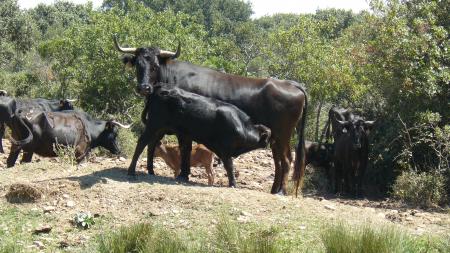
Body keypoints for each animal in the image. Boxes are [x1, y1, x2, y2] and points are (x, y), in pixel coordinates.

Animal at [128, 86, 272, 187]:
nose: (268, 144)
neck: (241, 125)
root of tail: (159, 89)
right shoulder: (225, 150)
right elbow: (229, 166)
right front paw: (233, 184)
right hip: (153, 125)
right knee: (142, 142)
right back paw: (131, 171)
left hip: (160, 129)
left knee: (151, 145)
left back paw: (151, 171)